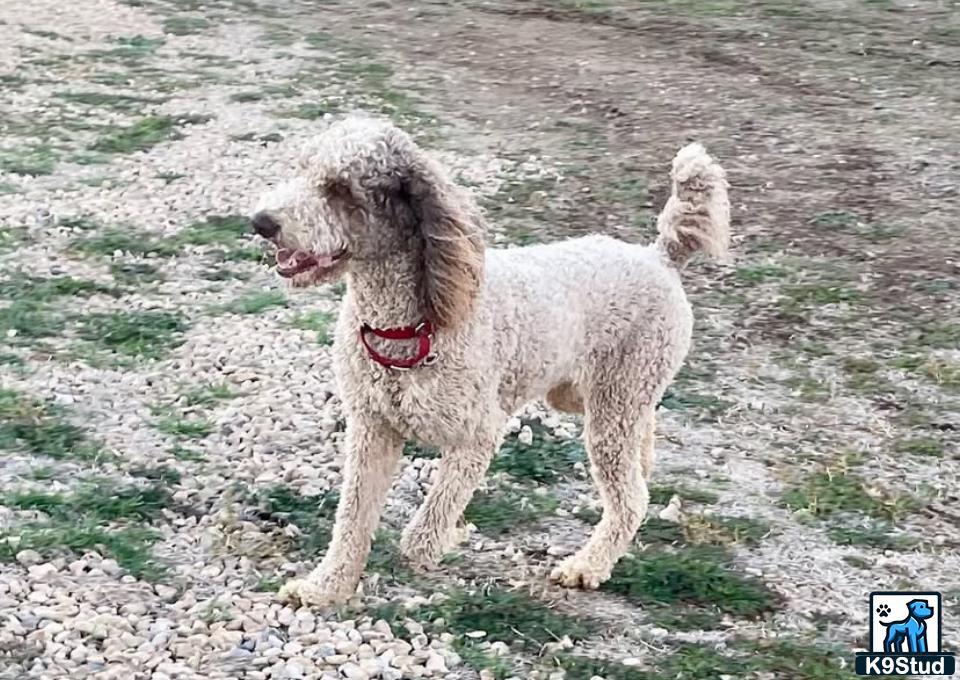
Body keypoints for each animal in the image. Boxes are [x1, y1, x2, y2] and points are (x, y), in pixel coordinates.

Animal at [251, 114, 732, 608]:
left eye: (340, 188)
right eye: (302, 169)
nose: (261, 222)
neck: (405, 325)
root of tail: (659, 256)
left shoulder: (478, 435)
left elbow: (431, 515)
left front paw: (431, 545)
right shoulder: (372, 429)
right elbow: (351, 519)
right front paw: (325, 587)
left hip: (613, 405)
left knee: (631, 497)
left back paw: (587, 565)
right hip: (588, 395)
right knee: (644, 435)